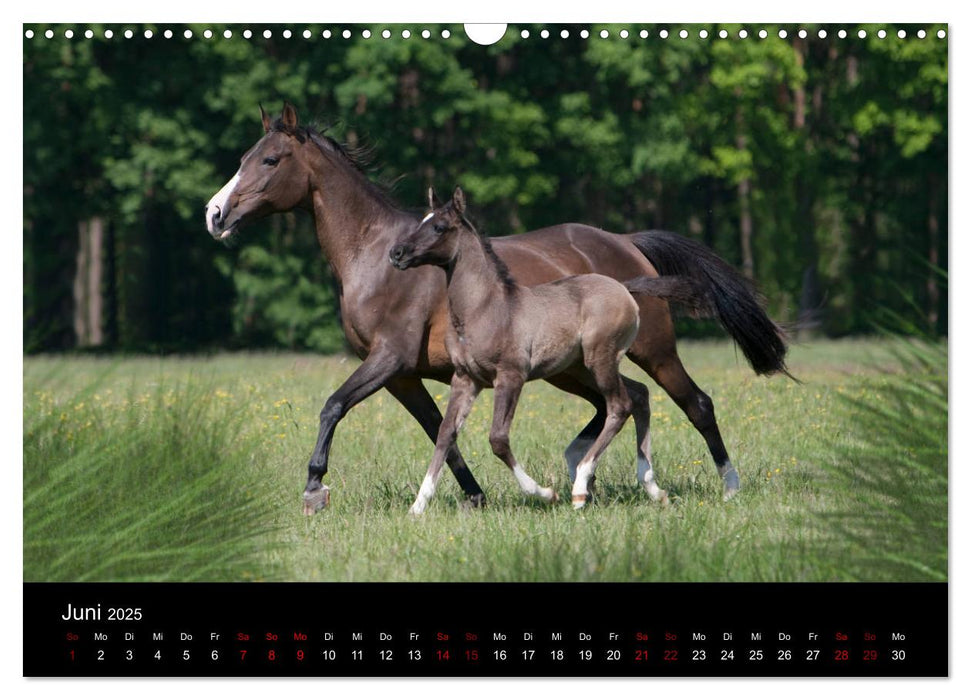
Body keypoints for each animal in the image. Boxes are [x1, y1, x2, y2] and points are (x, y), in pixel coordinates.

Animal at [388, 187, 644, 516]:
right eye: (423, 220)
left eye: (439, 227)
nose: (397, 253)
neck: (484, 308)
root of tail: (625, 291)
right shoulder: (465, 379)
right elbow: (445, 434)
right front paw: (418, 506)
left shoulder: (510, 376)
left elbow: (498, 439)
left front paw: (545, 493)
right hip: (583, 367)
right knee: (639, 395)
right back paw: (653, 488)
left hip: (600, 360)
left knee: (620, 406)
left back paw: (579, 489)